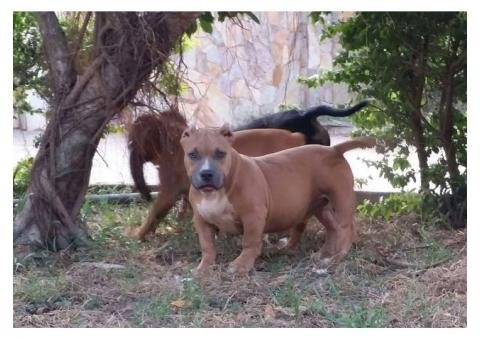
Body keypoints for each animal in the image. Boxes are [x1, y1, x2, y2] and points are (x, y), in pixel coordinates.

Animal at [180, 124, 376, 274]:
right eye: (193, 155)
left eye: (220, 153)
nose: (206, 174)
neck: (215, 192)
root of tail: (334, 149)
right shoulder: (201, 219)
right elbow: (207, 245)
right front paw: (203, 267)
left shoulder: (253, 215)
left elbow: (250, 242)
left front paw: (241, 265)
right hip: (321, 207)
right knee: (333, 229)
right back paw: (324, 254)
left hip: (342, 201)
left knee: (346, 230)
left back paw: (335, 258)